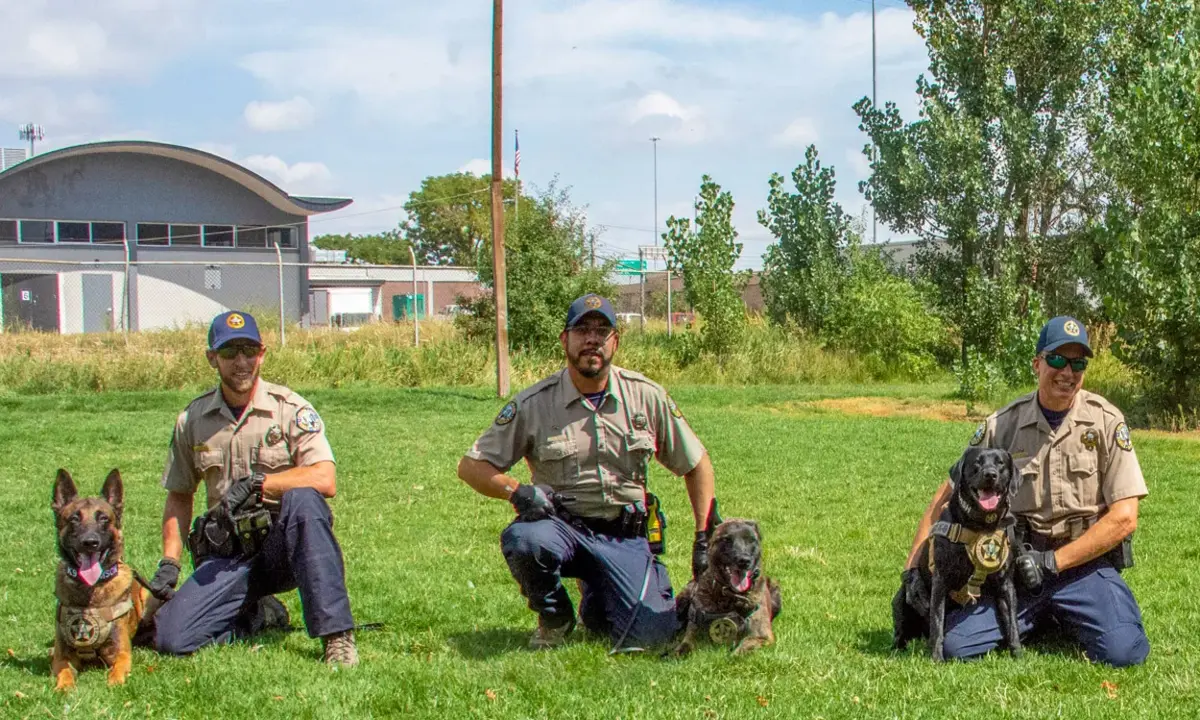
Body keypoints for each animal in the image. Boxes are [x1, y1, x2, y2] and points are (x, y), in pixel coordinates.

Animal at [51, 470, 146, 691]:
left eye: (103, 518)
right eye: (74, 519)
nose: (90, 542)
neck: (90, 593)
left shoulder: (121, 653)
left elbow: (118, 670)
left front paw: (114, 682)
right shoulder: (62, 656)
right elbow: (64, 671)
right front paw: (64, 686)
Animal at [672, 518, 782, 657]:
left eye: (751, 540)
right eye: (726, 540)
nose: (744, 561)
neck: (731, 595)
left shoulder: (762, 636)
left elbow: (742, 648)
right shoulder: (694, 627)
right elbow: (686, 642)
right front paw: (678, 651)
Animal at [892, 446, 1022, 662]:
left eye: (1000, 463)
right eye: (977, 462)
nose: (990, 475)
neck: (981, 524)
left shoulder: (1005, 583)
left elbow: (1012, 622)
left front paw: (1018, 653)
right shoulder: (940, 581)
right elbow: (937, 623)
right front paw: (936, 658)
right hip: (902, 599)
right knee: (901, 632)